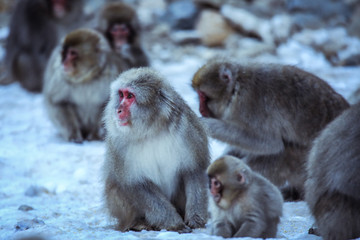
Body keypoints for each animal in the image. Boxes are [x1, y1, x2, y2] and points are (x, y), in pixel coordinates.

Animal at [102, 66, 208, 232]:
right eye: (121, 95)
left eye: (130, 96)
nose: (118, 110)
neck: (151, 129)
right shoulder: (118, 144)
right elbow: (136, 184)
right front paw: (175, 223)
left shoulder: (187, 129)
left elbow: (193, 169)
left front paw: (195, 219)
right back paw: (139, 223)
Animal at [193, 59, 350, 201]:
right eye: (199, 95)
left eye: (203, 96)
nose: (200, 109)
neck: (236, 88)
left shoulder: (250, 104)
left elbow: (270, 144)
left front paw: (208, 125)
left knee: (280, 154)